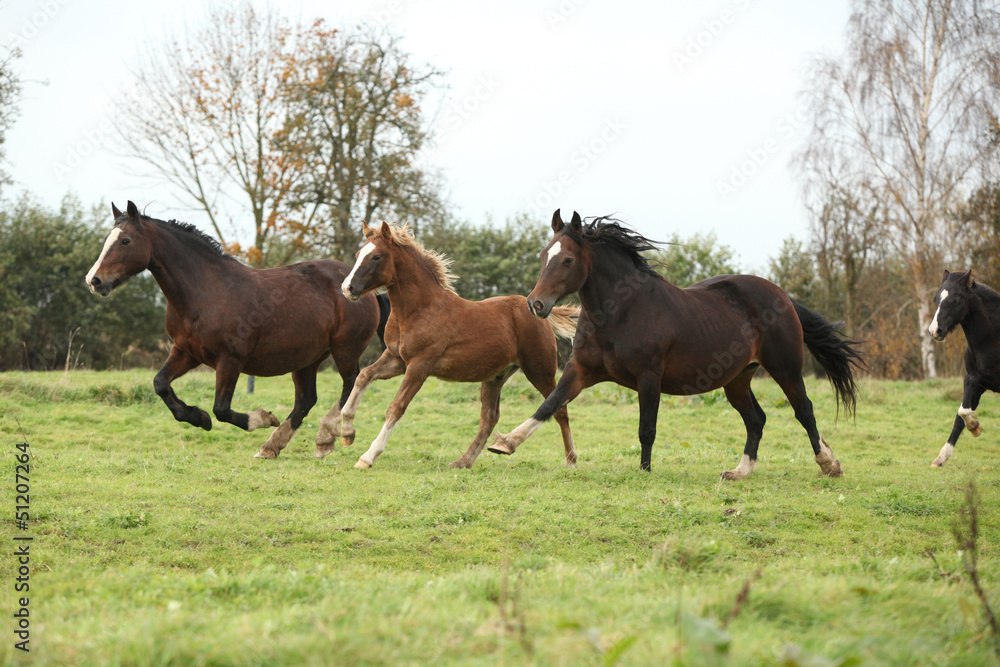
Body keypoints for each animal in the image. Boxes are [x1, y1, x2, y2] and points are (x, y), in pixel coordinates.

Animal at [85, 201, 387, 458]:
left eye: (126, 240)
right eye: (107, 239)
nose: (94, 280)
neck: (206, 291)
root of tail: (360, 287)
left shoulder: (230, 359)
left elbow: (221, 409)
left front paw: (261, 418)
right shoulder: (186, 352)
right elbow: (160, 384)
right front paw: (199, 418)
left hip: (344, 350)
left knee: (350, 385)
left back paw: (325, 437)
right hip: (308, 358)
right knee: (306, 400)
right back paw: (271, 447)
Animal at [316, 220, 579, 469]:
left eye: (376, 256)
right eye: (359, 253)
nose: (347, 288)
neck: (418, 310)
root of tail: (539, 311)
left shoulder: (420, 365)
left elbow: (396, 407)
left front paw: (367, 457)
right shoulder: (396, 359)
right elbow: (363, 377)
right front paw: (347, 433)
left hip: (538, 368)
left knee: (559, 408)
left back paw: (570, 461)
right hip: (496, 376)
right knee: (489, 418)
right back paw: (464, 461)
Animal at [490, 210, 865, 479]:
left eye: (567, 259)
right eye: (543, 255)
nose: (535, 304)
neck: (621, 311)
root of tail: (783, 296)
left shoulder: (648, 377)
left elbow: (647, 428)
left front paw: (644, 471)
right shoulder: (580, 370)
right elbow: (550, 405)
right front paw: (505, 443)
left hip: (785, 367)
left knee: (804, 410)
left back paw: (828, 464)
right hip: (737, 379)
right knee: (756, 419)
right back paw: (740, 471)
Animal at [927, 269, 1000, 467]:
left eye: (956, 300)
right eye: (936, 299)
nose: (935, 330)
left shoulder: (992, 378)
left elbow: (971, 378)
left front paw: (975, 425)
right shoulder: (979, 386)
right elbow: (961, 413)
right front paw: (941, 458)